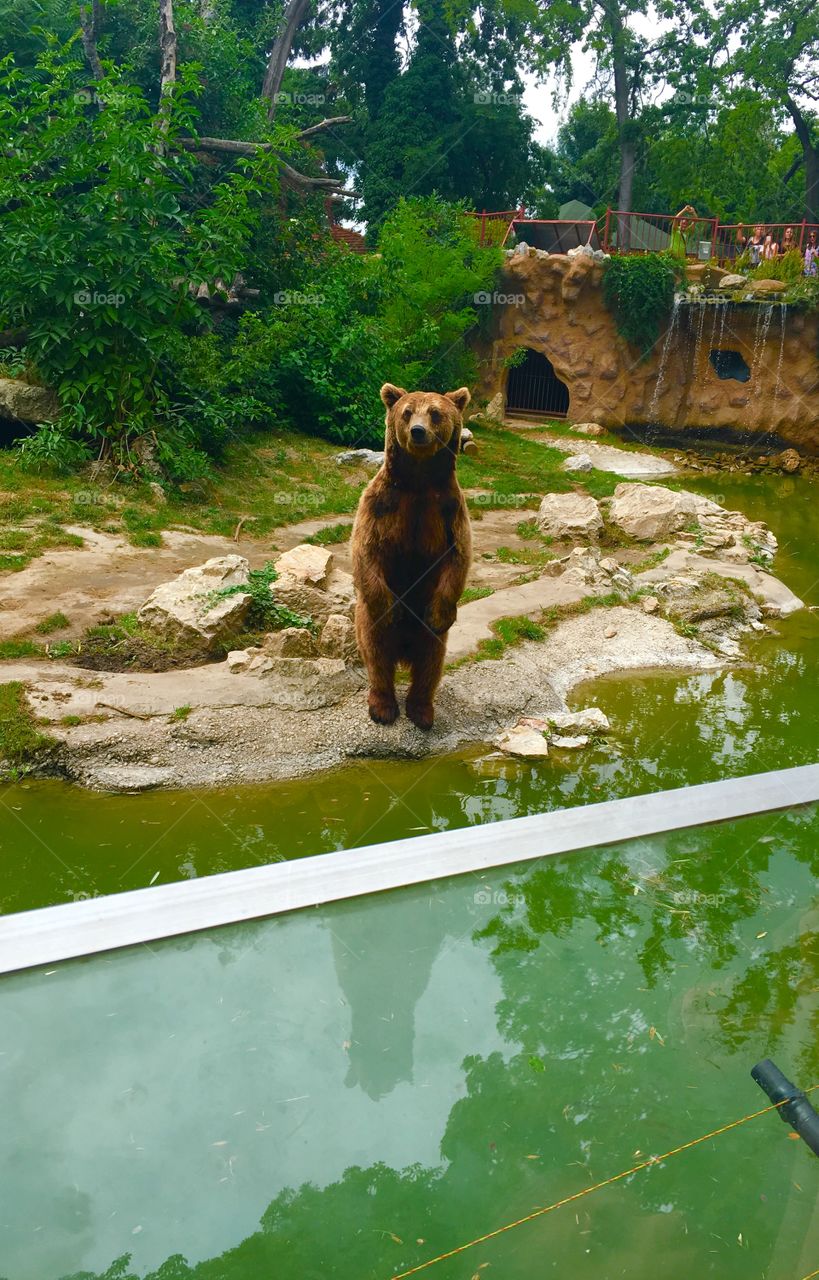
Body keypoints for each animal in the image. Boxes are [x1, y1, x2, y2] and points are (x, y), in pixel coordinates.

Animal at [350, 382, 473, 730]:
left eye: (435, 413)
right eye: (407, 412)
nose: (418, 431)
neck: (419, 480)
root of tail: (403, 651)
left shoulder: (448, 510)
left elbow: (458, 557)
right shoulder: (381, 504)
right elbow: (366, 550)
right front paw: (389, 609)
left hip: (426, 622)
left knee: (431, 659)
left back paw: (421, 710)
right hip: (368, 619)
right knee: (377, 653)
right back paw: (383, 707)